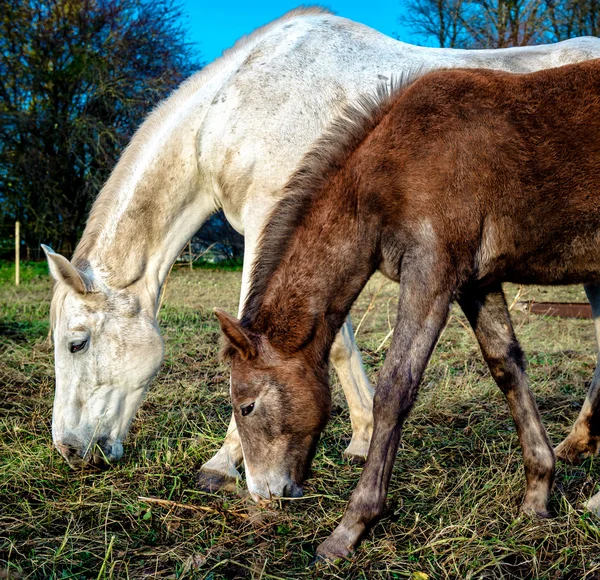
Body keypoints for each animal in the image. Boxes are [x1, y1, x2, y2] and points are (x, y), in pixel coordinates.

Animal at [44, 5, 600, 498]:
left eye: (77, 343)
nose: (69, 450)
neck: (236, 104)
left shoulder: (269, 220)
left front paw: (225, 462)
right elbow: (336, 343)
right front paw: (361, 436)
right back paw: (576, 444)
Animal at [217, 60, 600, 556]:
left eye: (247, 406)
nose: (264, 493)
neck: (393, 169)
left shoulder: (432, 273)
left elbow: (396, 387)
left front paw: (351, 527)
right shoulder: (476, 282)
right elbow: (507, 368)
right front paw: (537, 497)